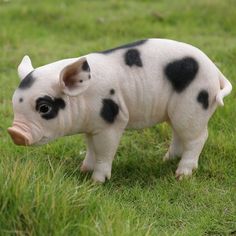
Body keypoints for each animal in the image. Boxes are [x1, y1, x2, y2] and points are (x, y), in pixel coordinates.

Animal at [7, 39, 232, 183]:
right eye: (14, 102)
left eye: (44, 107)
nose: (15, 132)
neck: (85, 98)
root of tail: (216, 72)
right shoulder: (91, 126)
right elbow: (91, 148)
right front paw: (83, 170)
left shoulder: (112, 122)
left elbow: (104, 151)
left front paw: (97, 181)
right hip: (177, 112)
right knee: (179, 134)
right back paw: (166, 159)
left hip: (193, 107)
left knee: (198, 137)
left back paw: (182, 175)